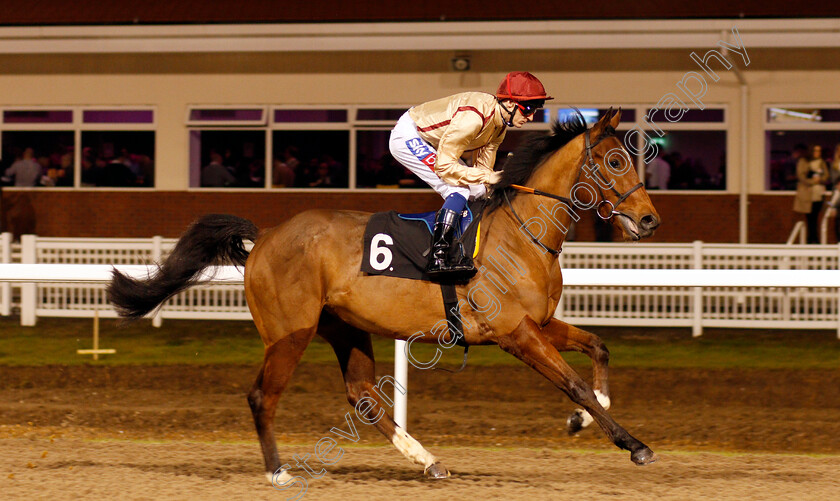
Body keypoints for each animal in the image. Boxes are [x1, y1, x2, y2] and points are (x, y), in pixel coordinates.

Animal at [105, 108, 660, 484]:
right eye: (615, 160)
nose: (650, 220)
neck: (524, 234)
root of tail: (263, 237)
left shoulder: (539, 325)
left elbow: (598, 348)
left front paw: (585, 417)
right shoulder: (516, 334)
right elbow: (574, 383)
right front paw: (632, 443)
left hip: (344, 327)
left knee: (363, 395)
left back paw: (428, 460)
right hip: (290, 332)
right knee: (264, 395)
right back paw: (279, 471)